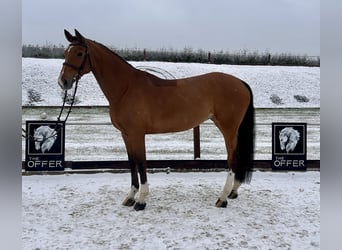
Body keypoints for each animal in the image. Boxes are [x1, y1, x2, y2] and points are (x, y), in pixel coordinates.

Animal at [58, 29, 254, 210]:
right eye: (66, 53)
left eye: (79, 53)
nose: (63, 82)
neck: (126, 89)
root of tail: (240, 83)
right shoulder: (126, 135)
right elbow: (132, 163)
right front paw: (130, 197)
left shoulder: (137, 134)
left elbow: (141, 163)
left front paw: (141, 201)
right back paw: (233, 191)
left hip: (228, 129)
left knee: (232, 158)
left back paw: (223, 198)